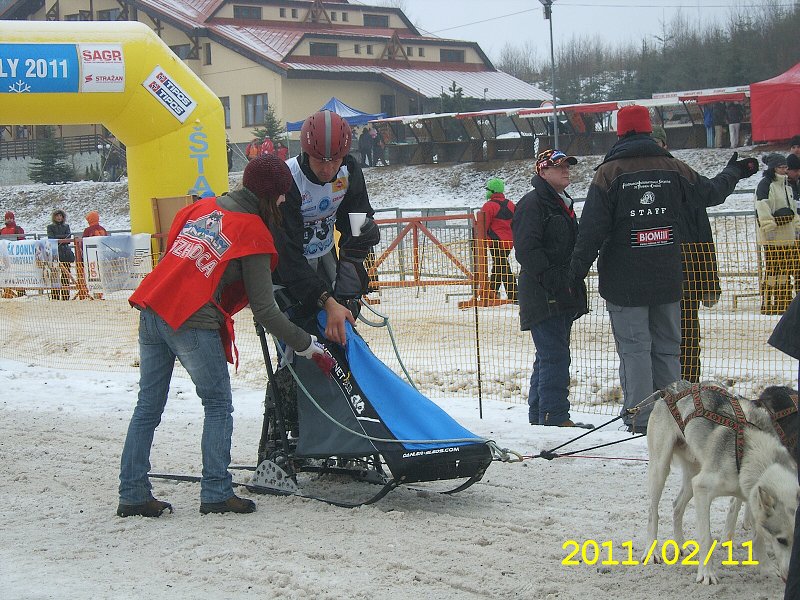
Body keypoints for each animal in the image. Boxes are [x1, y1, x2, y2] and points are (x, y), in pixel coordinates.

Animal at [644, 382, 800, 584]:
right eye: (781, 540)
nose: (790, 577)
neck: (752, 453)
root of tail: (671, 388)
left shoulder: (751, 496)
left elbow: (758, 537)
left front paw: (765, 568)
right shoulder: (702, 488)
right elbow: (706, 537)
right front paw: (707, 573)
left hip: (692, 475)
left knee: (677, 507)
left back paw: (681, 545)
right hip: (661, 469)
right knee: (652, 512)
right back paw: (652, 551)